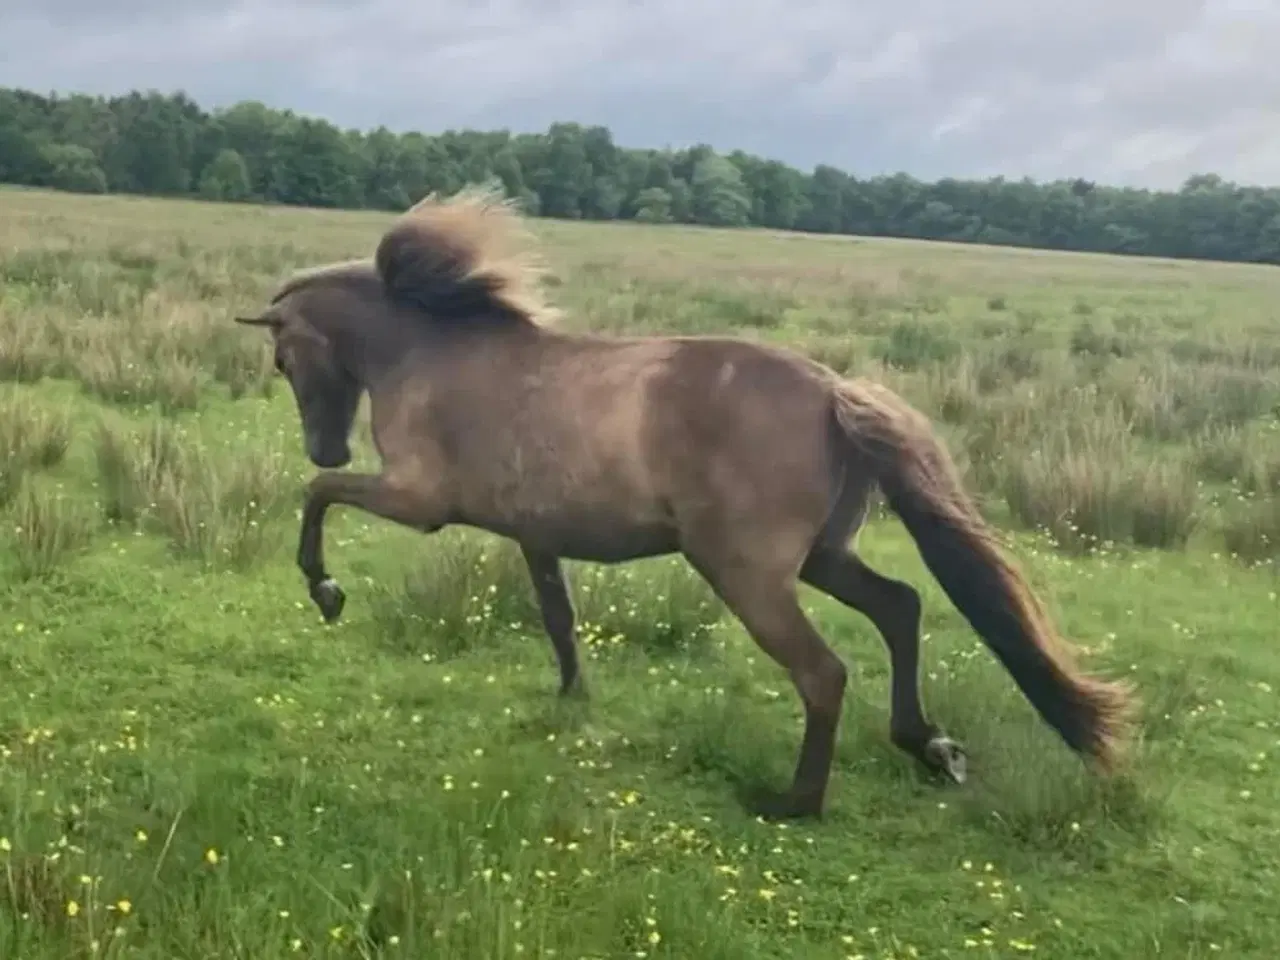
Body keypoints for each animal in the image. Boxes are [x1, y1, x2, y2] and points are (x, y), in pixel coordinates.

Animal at [235, 189, 1136, 829]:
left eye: (283, 359)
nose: (326, 446)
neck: (427, 353)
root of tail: (834, 392)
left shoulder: (418, 499)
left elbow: (316, 502)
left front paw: (325, 590)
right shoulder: (534, 534)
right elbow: (558, 617)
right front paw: (572, 698)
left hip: (746, 573)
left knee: (825, 671)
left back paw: (794, 803)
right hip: (822, 556)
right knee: (901, 607)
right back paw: (929, 745)